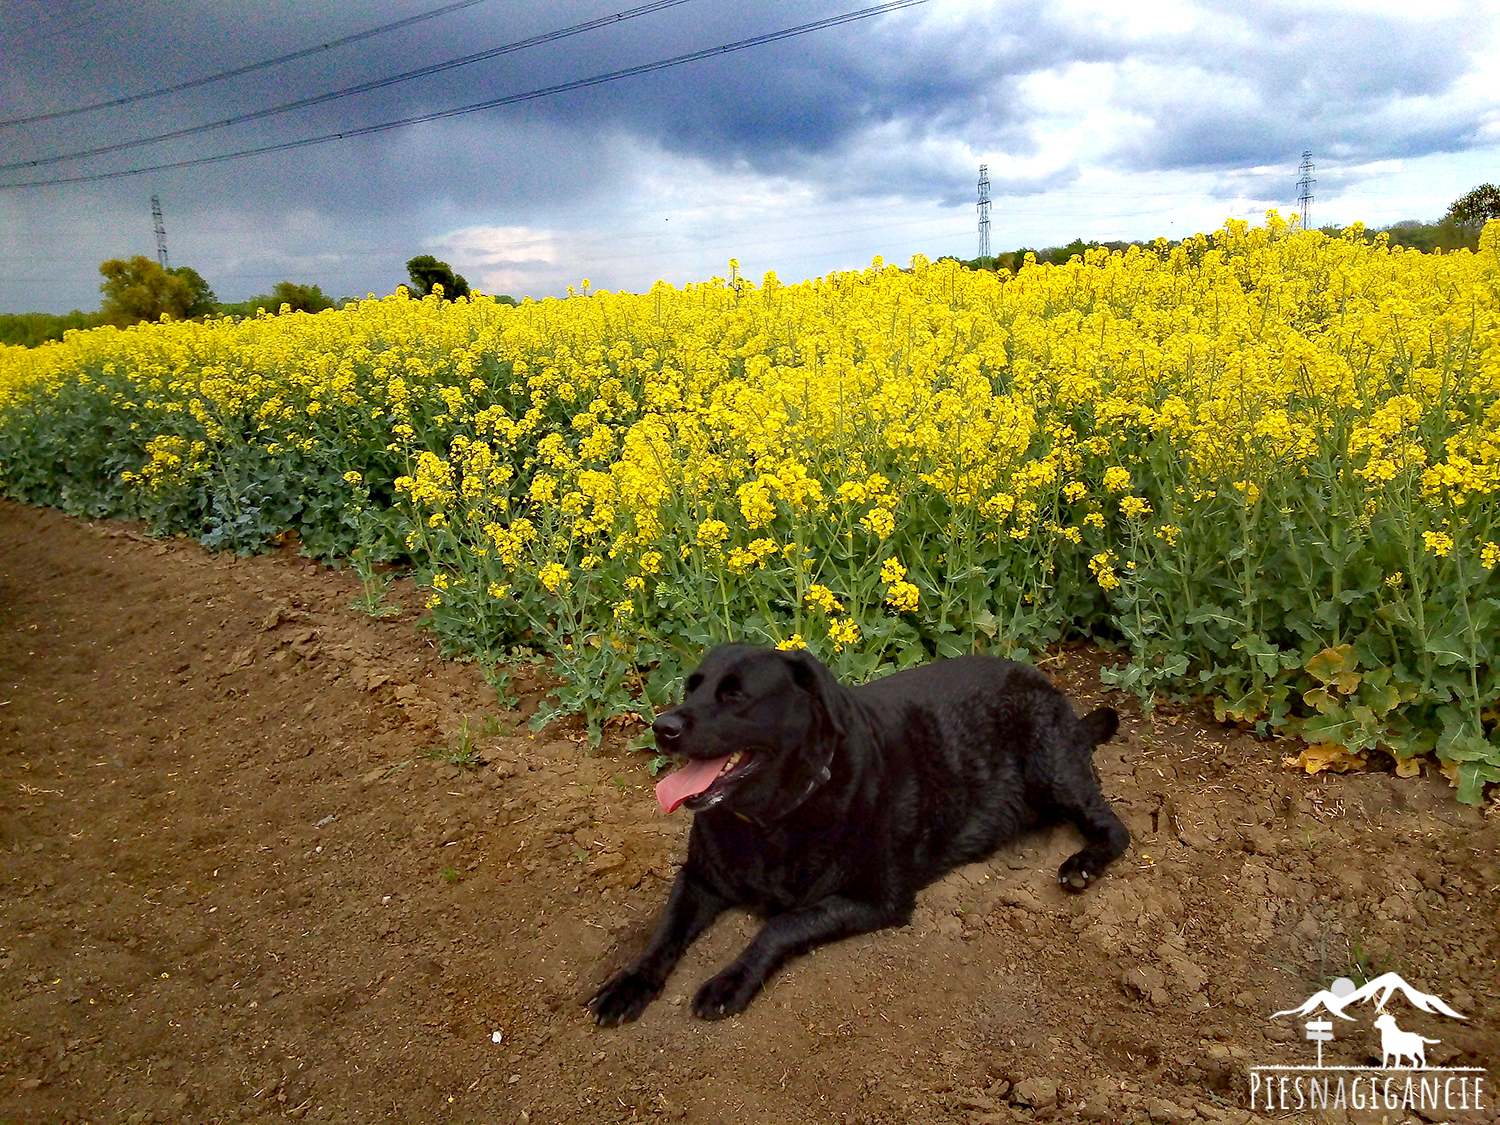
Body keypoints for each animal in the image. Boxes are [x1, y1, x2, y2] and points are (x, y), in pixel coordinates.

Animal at [585, 648, 1128, 1026]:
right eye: (691, 687)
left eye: (735, 695)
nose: (663, 726)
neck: (772, 820)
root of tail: (1044, 680)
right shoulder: (698, 879)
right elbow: (663, 933)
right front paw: (627, 983)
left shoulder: (876, 898)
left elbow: (782, 925)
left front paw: (729, 981)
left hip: (1051, 768)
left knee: (1116, 827)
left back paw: (1083, 864)